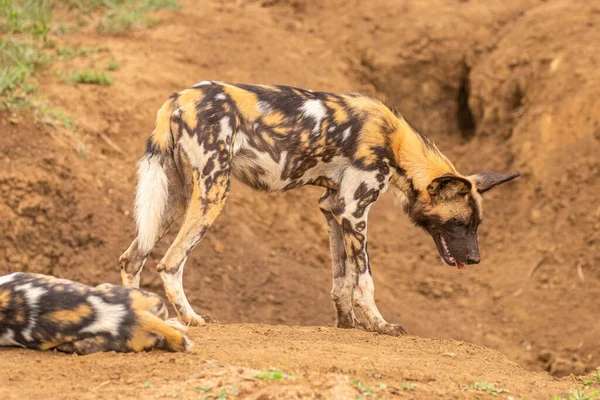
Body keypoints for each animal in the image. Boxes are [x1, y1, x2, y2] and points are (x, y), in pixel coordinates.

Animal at [118, 80, 520, 334]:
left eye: (476, 226)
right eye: (458, 225)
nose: (475, 259)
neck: (397, 145)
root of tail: (177, 98)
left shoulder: (332, 208)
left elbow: (340, 279)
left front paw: (348, 324)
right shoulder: (354, 212)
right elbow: (364, 281)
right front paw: (380, 326)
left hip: (175, 200)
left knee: (132, 259)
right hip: (213, 194)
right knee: (169, 263)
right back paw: (191, 319)